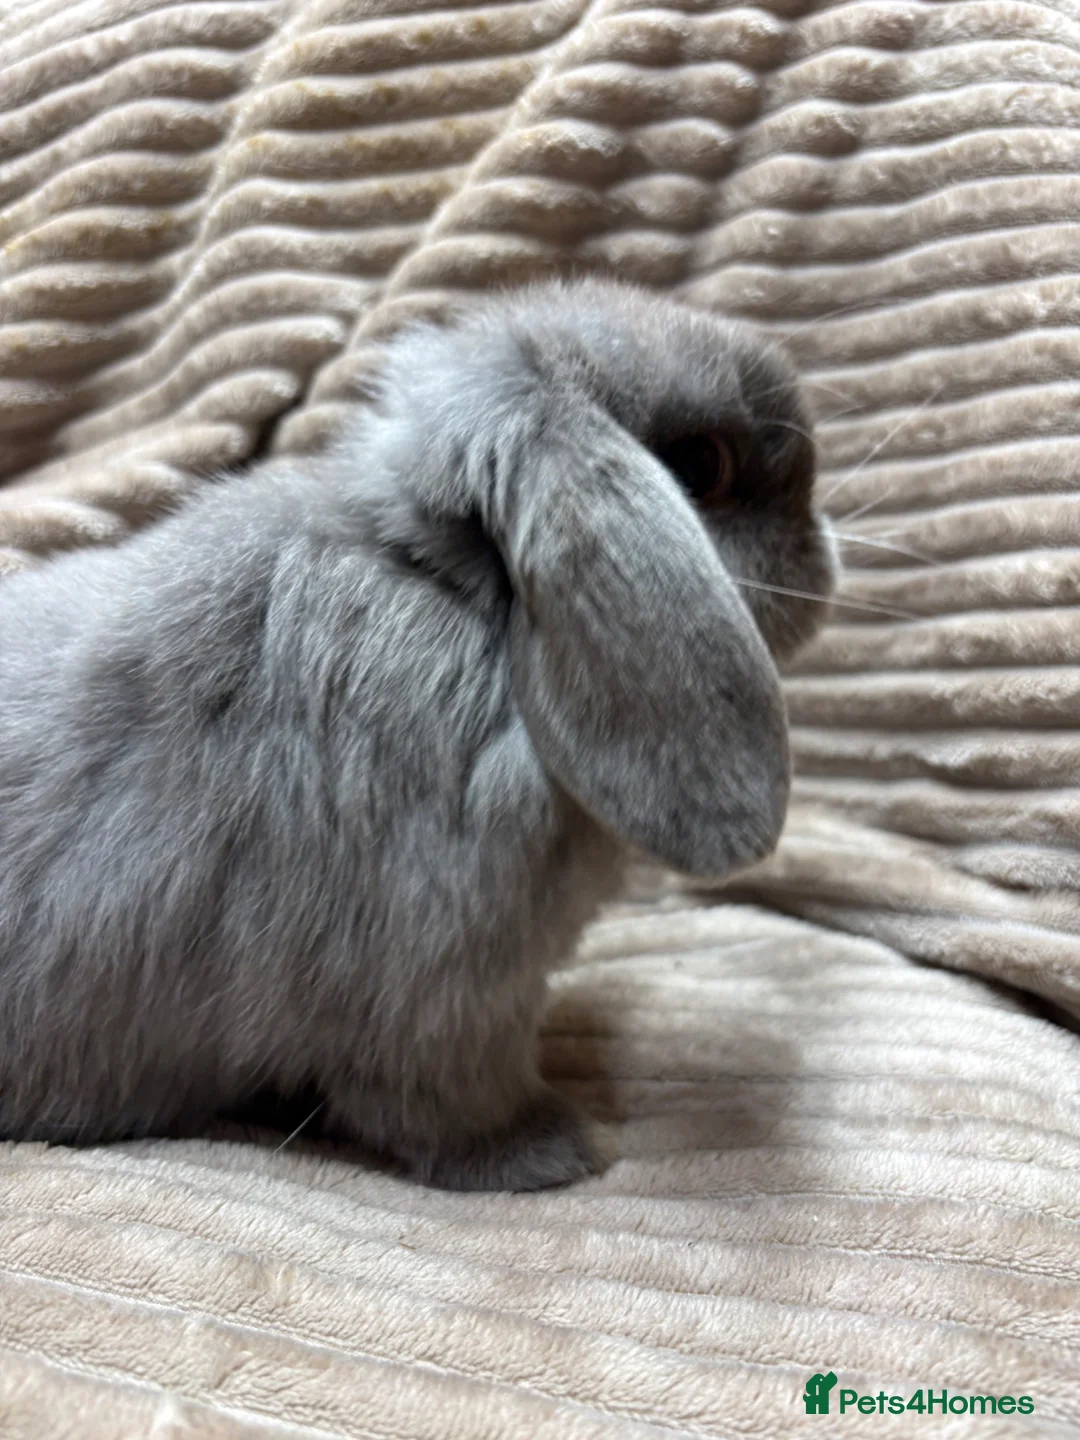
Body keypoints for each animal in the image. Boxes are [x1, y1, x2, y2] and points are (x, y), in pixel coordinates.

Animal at [0, 278, 836, 1191]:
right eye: (700, 469)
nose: (827, 553)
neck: (459, 602)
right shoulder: (445, 995)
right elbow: (446, 1101)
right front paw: (561, 1149)